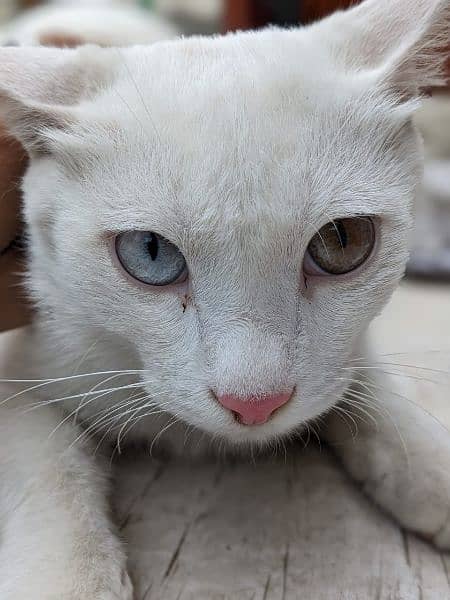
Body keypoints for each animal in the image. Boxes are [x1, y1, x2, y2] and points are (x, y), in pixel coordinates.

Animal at [0, 0, 448, 596]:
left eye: (342, 241)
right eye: (149, 252)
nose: (255, 403)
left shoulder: (349, 352)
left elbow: (369, 390)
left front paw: (431, 467)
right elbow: (48, 473)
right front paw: (71, 578)